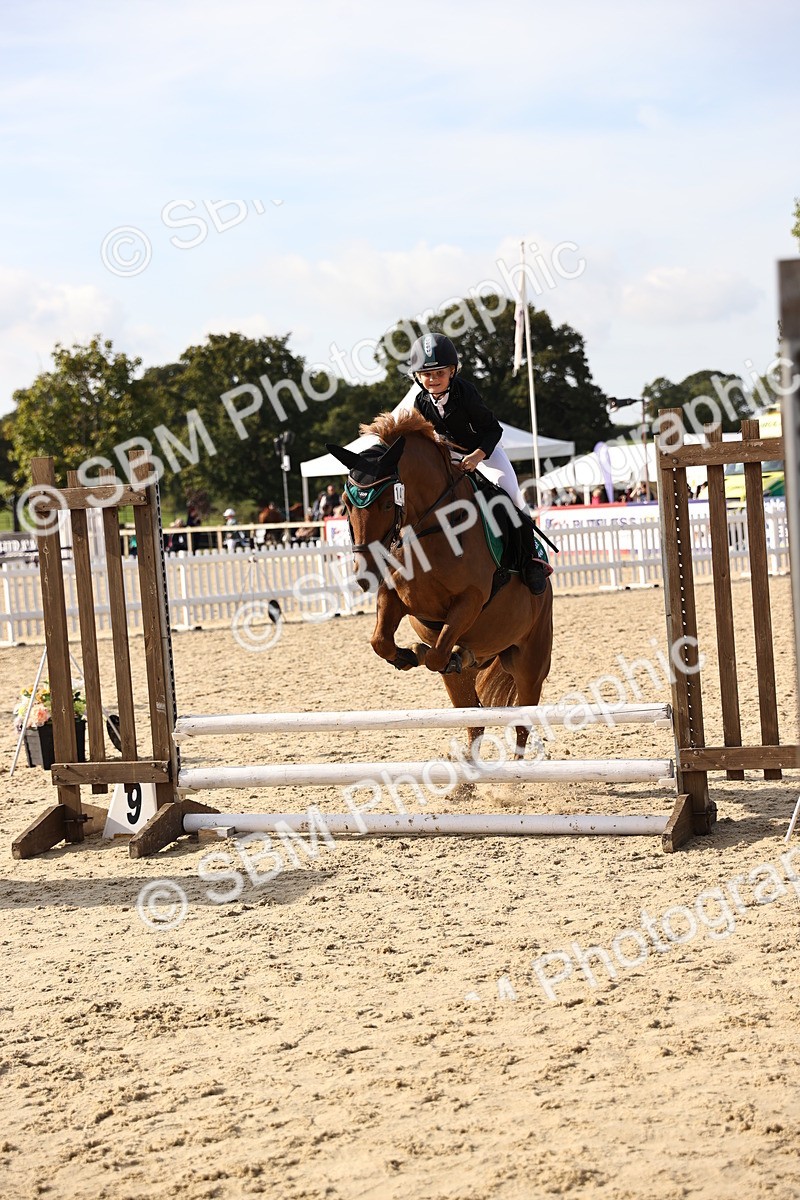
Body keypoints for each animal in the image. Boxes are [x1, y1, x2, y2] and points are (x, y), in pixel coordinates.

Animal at [327, 409, 553, 757]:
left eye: (387, 503)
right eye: (347, 503)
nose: (365, 572)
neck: (432, 528)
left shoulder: (470, 600)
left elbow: (435, 654)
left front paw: (424, 652)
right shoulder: (395, 596)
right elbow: (381, 641)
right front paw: (406, 656)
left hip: (530, 664)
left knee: (521, 722)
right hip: (471, 676)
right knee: (474, 720)